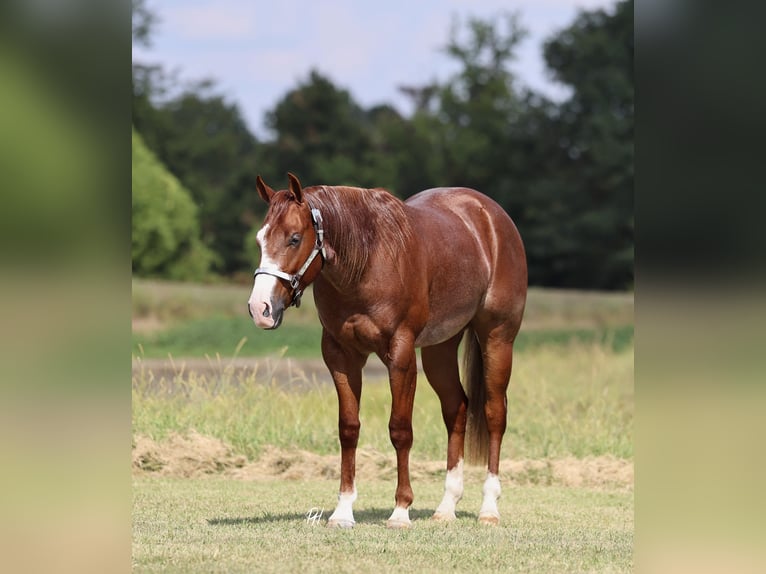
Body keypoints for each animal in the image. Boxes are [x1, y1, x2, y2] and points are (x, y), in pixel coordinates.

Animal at [247, 173, 526, 529]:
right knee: (457, 409)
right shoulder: (340, 356)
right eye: (260, 240)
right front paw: (343, 511)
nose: (261, 308)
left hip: (497, 338)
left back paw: (489, 508)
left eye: (294, 239)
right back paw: (446, 507)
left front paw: (401, 510)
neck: (368, 261)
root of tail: (491, 215)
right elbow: (348, 428)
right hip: (439, 349)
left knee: (494, 414)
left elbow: (400, 429)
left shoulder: (401, 356)